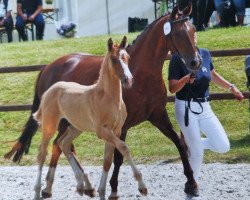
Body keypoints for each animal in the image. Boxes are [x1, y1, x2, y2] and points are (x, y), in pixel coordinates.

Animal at [31, 36, 145, 199]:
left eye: (127, 57)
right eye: (113, 59)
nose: (128, 80)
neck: (107, 97)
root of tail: (50, 89)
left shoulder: (115, 131)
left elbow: (107, 161)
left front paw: (102, 192)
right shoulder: (102, 131)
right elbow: (124, 147)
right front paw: (142, 187)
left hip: (75, 127)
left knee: (63, 143)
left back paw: (82, 186)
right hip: (49, 125)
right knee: (42, 153)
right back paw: (39, 191)